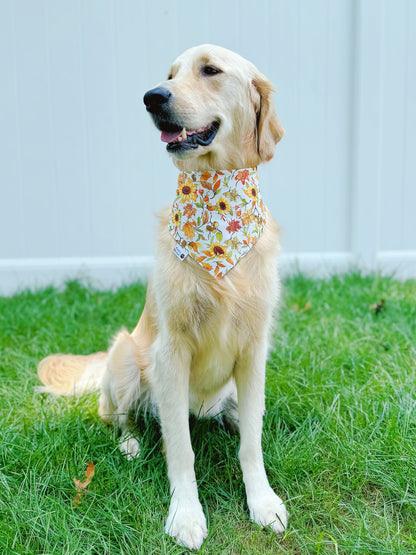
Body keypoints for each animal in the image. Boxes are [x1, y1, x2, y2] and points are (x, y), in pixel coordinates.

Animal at [38, 44, 286, 552]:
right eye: (168, 75)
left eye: (210, 70)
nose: (153, 97)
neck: (218, 203)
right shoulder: (171, 352)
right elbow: (182, 451)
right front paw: (186, 515)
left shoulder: (254, 350)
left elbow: (251, 443)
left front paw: (263, 502)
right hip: (127, 361)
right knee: (118, 417)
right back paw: (130, 443)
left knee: (240, 417)